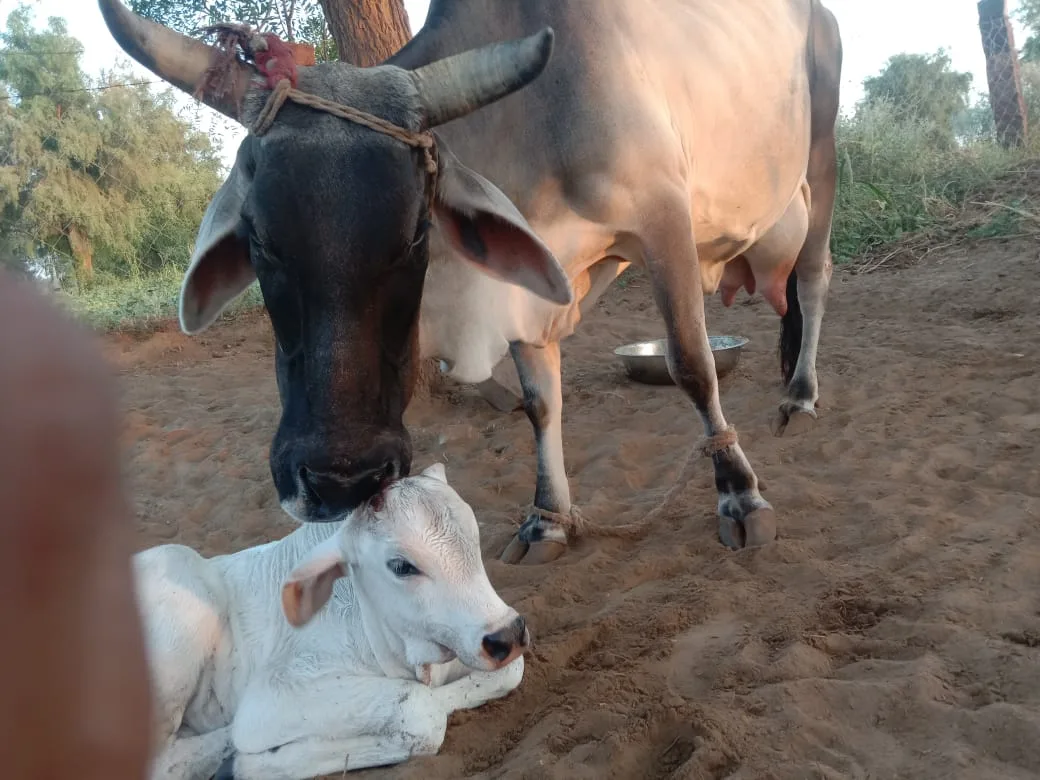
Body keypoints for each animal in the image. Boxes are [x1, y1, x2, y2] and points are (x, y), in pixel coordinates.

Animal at [98, 0, 842, 564]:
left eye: (415, 232)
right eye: (259, 241)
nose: (341, 478)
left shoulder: (665, 220)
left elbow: (692, 364)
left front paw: (739, 493)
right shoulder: (526, 291)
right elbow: (540, 402)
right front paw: (547, 517)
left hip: (821, 160)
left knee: (812, 279)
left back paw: (803, 395)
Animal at [135, 463, 529, 779]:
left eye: (474, 537)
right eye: (401, 566)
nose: (507, 635)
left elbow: (510, 671)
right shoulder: (272, 697)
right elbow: (421, 711)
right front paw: (251, 762)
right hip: (182, 580)